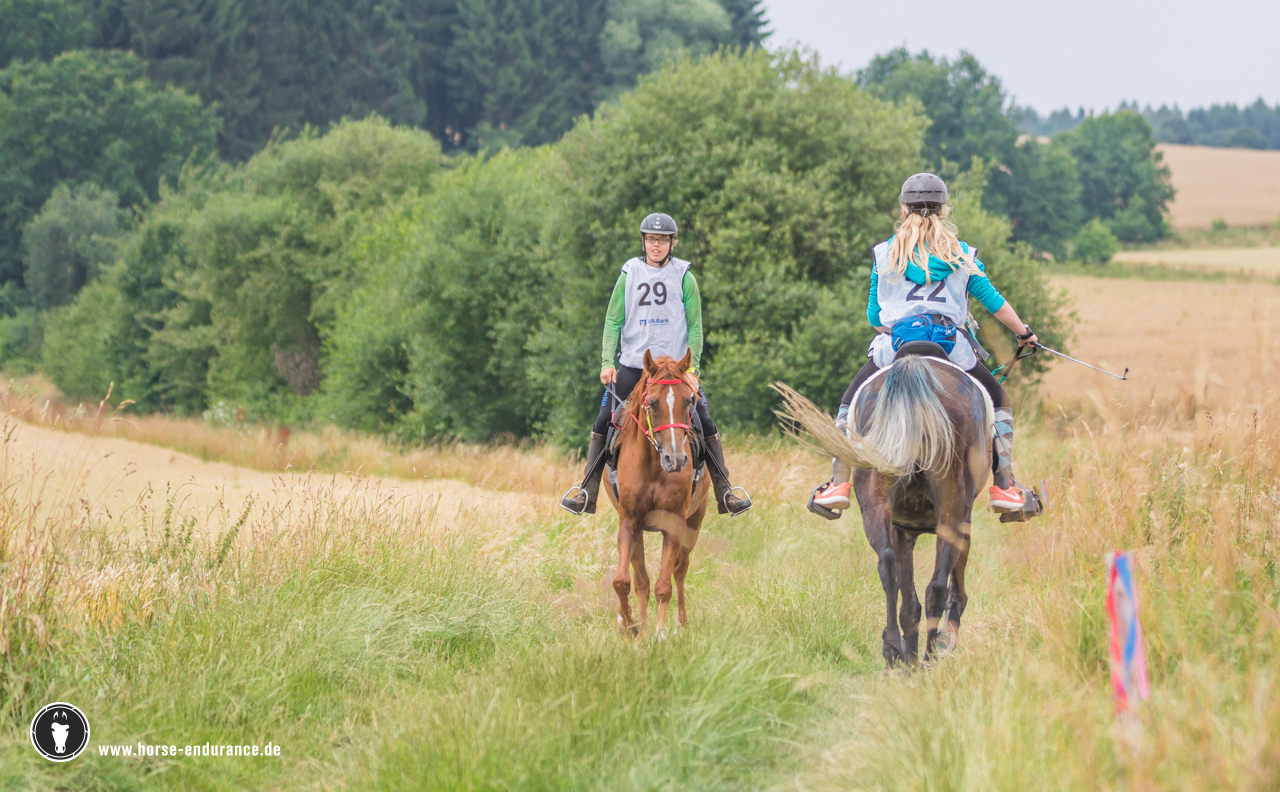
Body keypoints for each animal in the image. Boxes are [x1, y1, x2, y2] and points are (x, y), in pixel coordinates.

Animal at [603, 349, 712, 637]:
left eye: (689, 401)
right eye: (651, 403)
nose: (675, 459)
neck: (654, 466)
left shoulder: (674, 524)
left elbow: (664, 584)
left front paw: (660, 633)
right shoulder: (630, 522)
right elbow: (623, 581)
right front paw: (630, 624)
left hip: (694, 522)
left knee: (680, 570)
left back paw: (680, 622)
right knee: (641, 580)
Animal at [775, 345, 994, 666]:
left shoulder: (903, 528)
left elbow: (909, 601)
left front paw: (912, 654)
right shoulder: (928, 527)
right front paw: (935, 644)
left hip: (881, 501)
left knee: (892, 568)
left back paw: (897, 649)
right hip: (950, 510)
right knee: (934, 585)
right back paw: (923, 656)